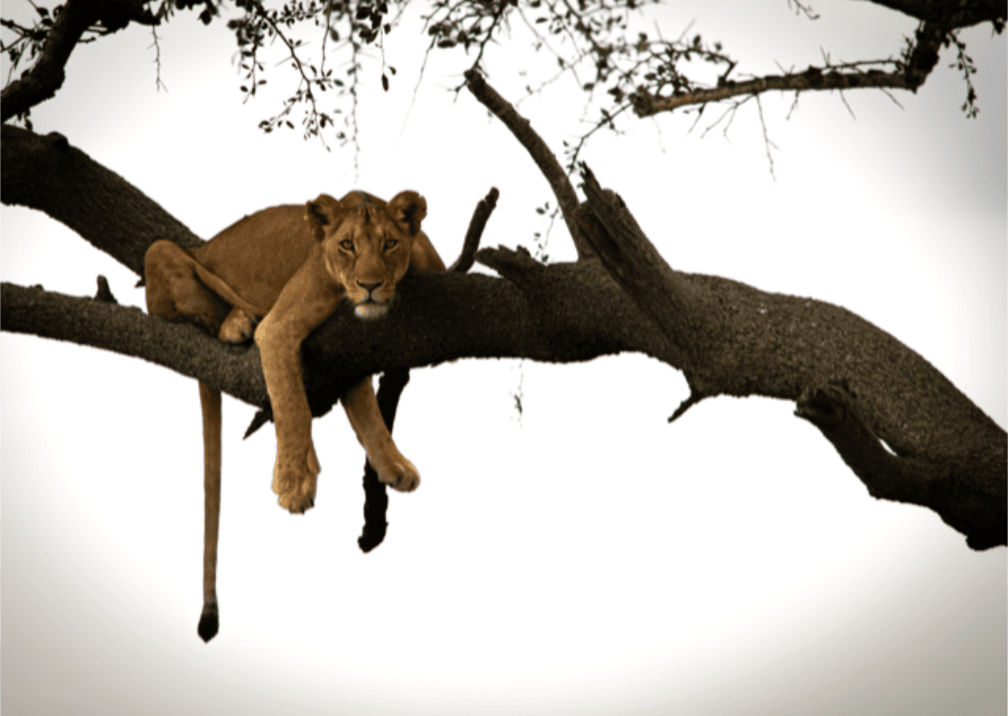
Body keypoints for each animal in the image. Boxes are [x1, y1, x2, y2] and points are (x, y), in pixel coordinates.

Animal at [144, 190, 445, 642]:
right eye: (347, 245)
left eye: (390, 243)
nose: (370, 286)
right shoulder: (281, 326)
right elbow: (291, 406)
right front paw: (292, 482)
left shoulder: (350, 360)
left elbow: (368, 416)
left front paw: (393, 466)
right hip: (160, 252)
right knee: (204, 315)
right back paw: (237, 323)